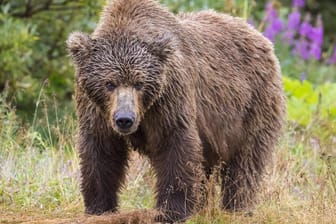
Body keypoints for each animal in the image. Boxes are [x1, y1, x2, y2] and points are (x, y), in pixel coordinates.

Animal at [66, 0, 286, 222]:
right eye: (109, 83)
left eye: (139, 83)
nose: (125, 119)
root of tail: (261, 38)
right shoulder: (96, 109)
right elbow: (101, 152)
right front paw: (98, 207)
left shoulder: (169, 98)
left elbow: (175, 144)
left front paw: (171, 211)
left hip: (252, 105)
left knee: (245, 162)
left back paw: (237, 208)